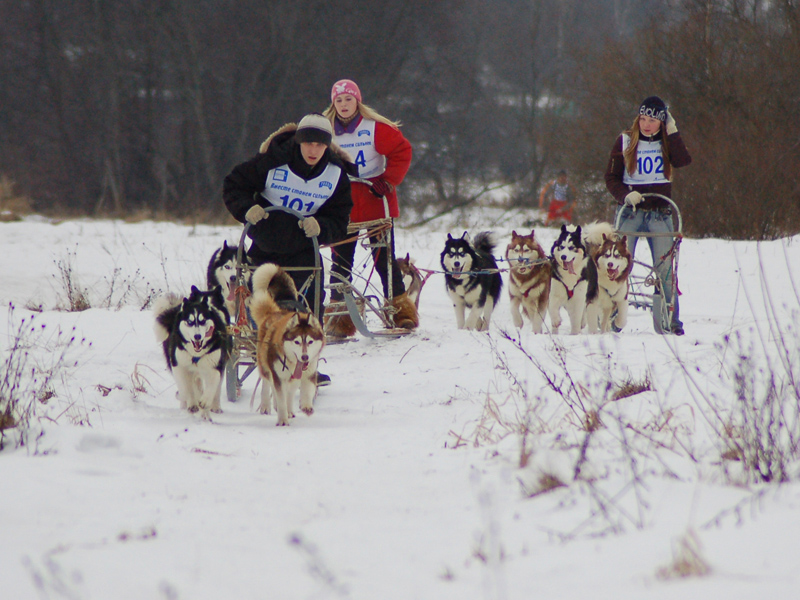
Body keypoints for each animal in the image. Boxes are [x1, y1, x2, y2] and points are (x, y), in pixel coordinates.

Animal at [153, 286, 230, 418]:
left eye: (203, 320)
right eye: (190, 322)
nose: (197, 336)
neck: (196, 354)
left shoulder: (216, 365)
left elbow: (213, 386)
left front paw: (206, 402)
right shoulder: (179, 365)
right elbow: (186, 388)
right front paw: (191, 402)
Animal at [250, 264, 324, 426]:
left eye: (310, 341)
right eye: (297, 342)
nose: (304, 357)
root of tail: (273, 311)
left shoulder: (308, 371)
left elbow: (306, 389)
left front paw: (306, 405)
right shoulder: (278, 376)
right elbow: (280, 396)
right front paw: (282, 420)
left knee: (290, 391)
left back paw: (290, 410)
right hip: (265, 364)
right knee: (267, 383)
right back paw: (266, 405)